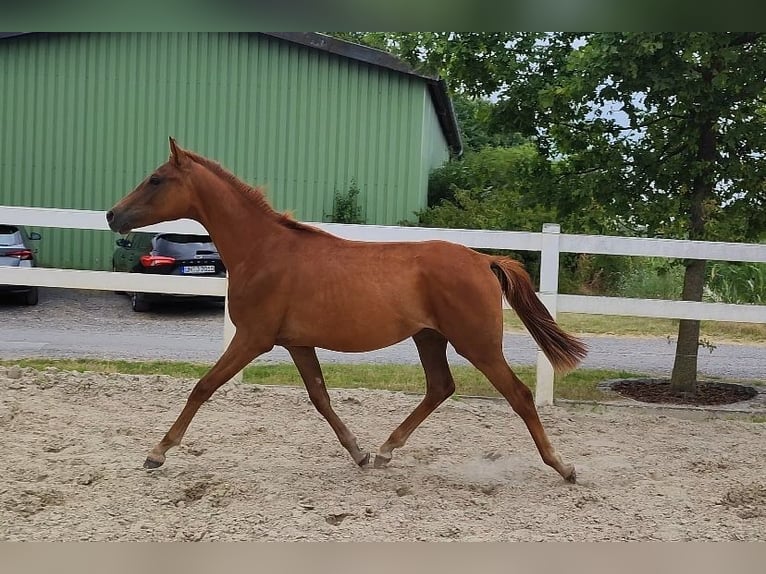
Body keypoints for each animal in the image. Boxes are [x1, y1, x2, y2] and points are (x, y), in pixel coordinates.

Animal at [106, 138, 587, 483]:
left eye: (155, 179)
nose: (112, 215)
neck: (262, 251)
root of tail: (483, 260)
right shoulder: (297, 344)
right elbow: (320, 396)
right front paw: (358, 453)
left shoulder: (252, 338)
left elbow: (202, 387)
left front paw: (156, 453)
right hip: (429, 337)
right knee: (440, 387)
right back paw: (386, 451)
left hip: (477, 343)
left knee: (518, 394)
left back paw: (563, 467)